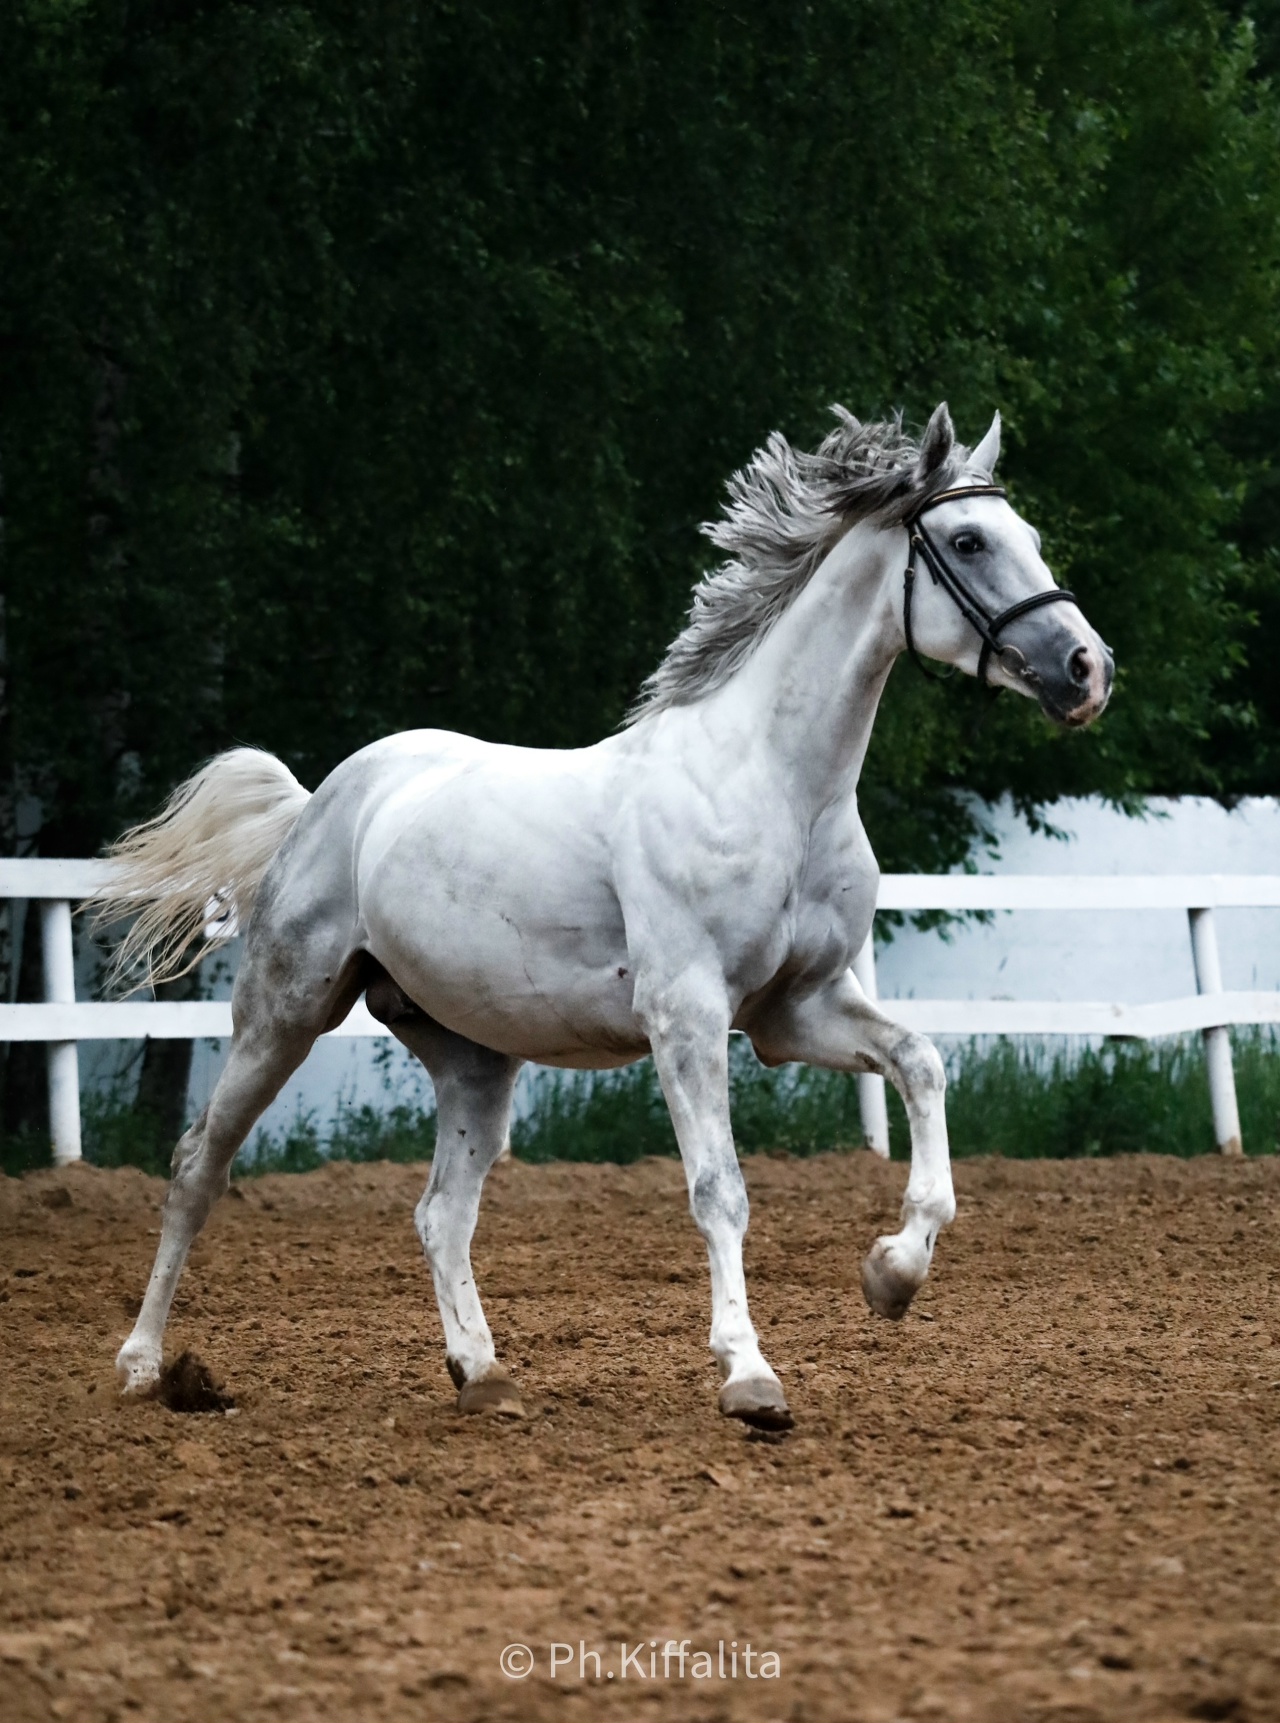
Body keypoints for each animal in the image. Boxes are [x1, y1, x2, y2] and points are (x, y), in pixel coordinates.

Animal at [100, 403, 1112, 1430]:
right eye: (968, 539)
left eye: (1029, 535)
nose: (1087, 669)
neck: (776, 787)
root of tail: (321, 803)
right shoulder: (688, 1014)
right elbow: (720, 1189)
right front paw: (750, 1375)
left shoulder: (798, 1011)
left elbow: (922, 1063)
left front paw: (893, 1274)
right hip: (284, 1011)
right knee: (197, 1165)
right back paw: (144, 1366)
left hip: (473, 1059)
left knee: (441, 1212)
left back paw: (483, 1374)